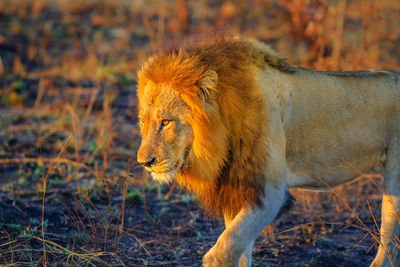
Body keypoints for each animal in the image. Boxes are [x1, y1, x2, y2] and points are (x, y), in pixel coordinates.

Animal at [135, 37, 400, 267]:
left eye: (166, 122)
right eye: (142, 122)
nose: (144, 162)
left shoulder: (270, 194)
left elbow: (224, 250)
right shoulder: (238, 188)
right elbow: (240, 249)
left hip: (394, 180)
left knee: (389, 232)